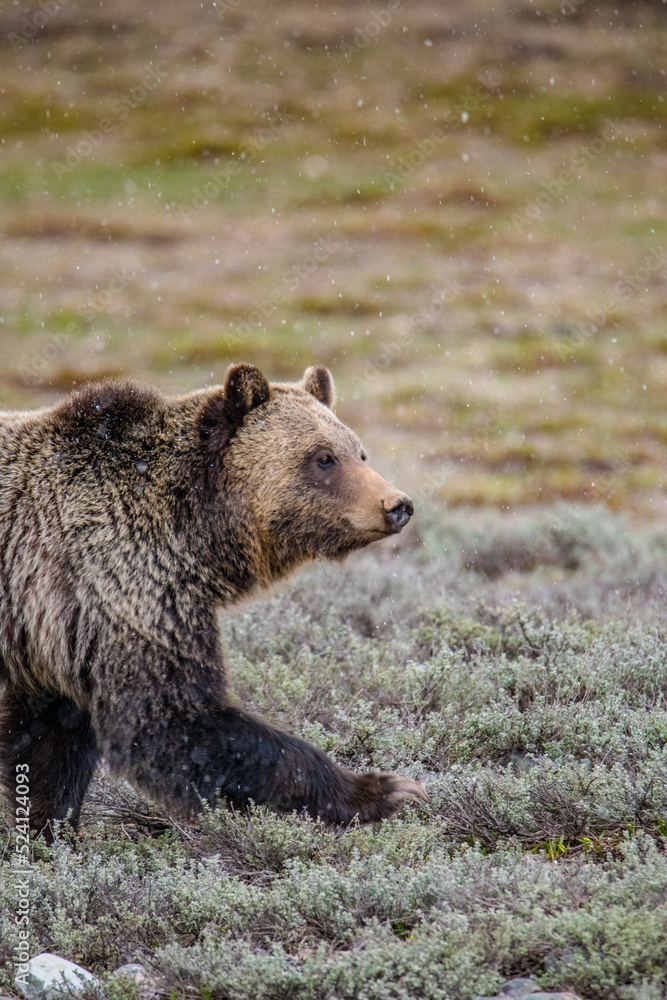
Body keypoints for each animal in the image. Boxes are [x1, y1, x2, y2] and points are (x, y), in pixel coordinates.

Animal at [0, 368, 426, 836]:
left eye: (360, 452)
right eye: (324, 457)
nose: (397, 505)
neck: (194, 531)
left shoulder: (59, 630)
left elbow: (50, 739)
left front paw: (49, 829)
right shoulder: (116, 578)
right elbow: (174, 719)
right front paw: (385, 789)